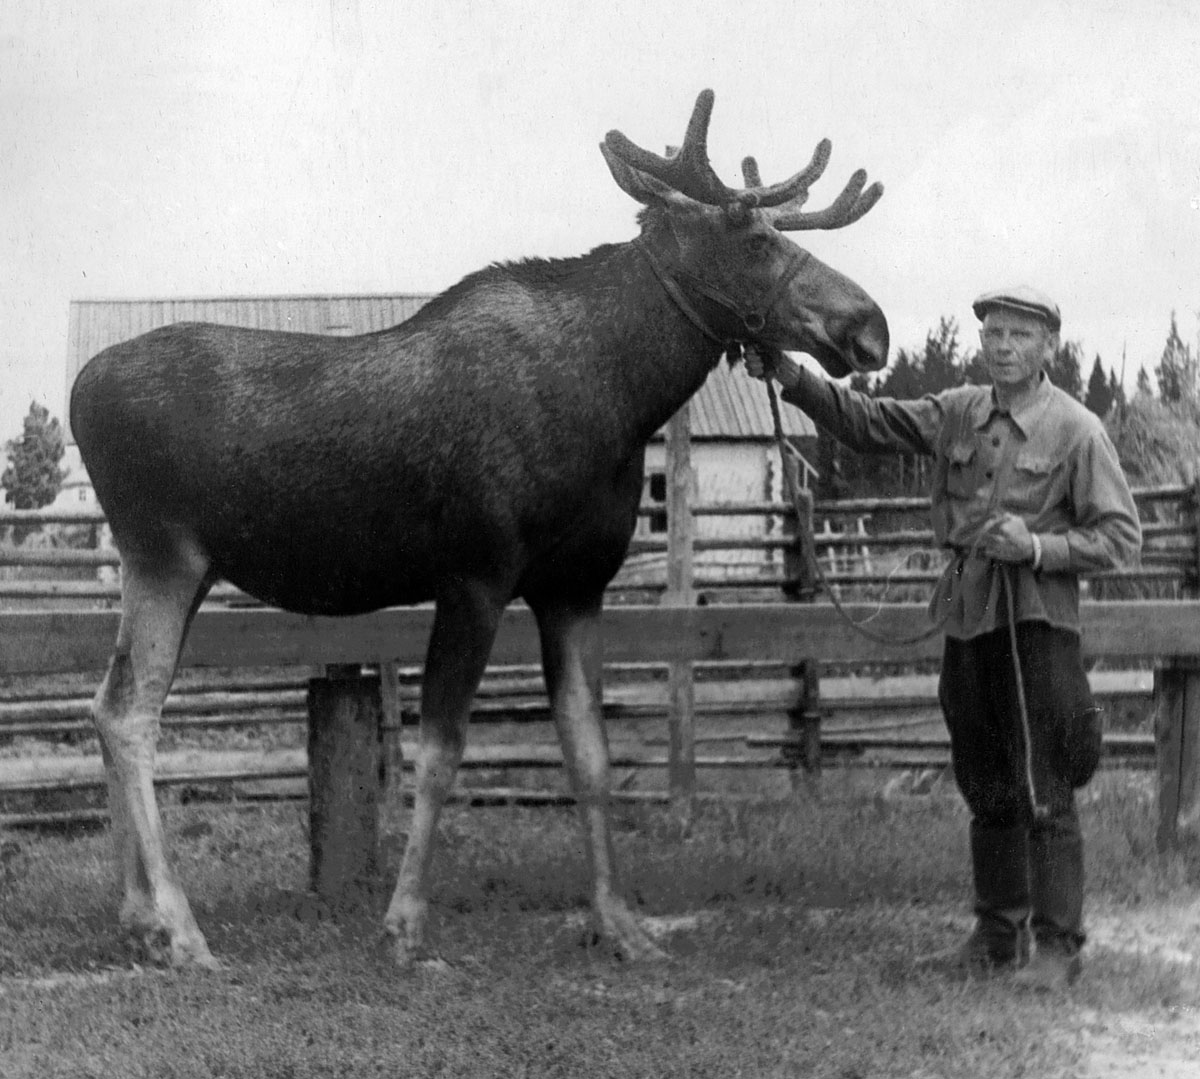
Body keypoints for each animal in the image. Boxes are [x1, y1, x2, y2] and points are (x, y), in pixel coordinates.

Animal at [70, 94, 888, 969]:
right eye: (755, 235)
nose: (870, 325)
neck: (620, 398)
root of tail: (81, 393)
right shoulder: (475, 574)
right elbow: (439, 751)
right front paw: (403, 922)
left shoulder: (575, 587)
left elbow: (590, 752)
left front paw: (620, 921)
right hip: (163, 553)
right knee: (131, 714)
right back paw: (179, 925)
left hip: (172, 566)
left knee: (108, 702)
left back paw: (138, 913)